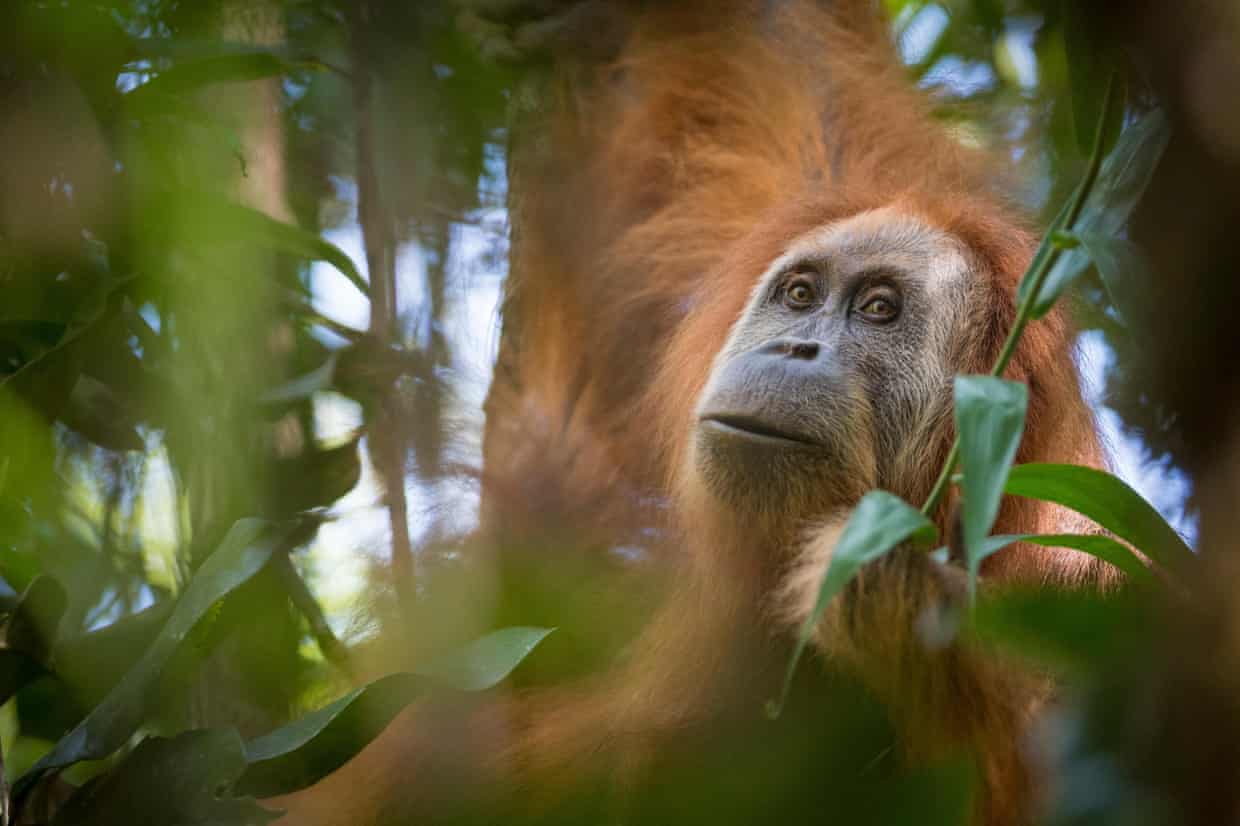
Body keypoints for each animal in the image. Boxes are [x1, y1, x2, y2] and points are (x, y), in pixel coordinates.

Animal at [271, 2, 1114, 824]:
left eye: (879, 310)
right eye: (800, 294)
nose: (795, 349)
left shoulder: (1075, 574)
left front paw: (895, 605)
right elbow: (797, 77)